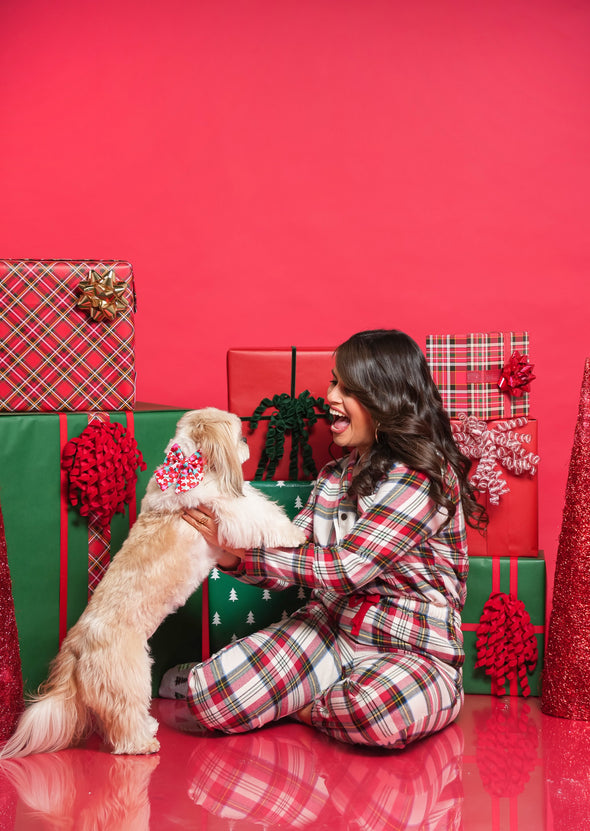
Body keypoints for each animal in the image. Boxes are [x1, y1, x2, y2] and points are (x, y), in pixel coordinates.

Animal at [3, 410, 310, 760]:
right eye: (237, 433)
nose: (246, 439)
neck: (188, 464)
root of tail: (77, 646)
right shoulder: (227, 508)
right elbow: (260, 512)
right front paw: (294, 533)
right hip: (129, 679)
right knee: (123, 720)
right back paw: (142, 743)